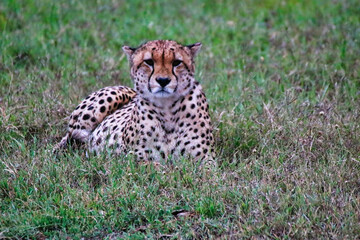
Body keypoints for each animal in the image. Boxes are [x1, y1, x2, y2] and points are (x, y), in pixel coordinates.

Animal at [54, 39, 215, 163]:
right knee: (67, 140)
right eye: (149, 62)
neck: (167, 109)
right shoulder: (132, 158)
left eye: (177, 62)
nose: (163, 80)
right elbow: (155, 166)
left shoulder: (207, 159)